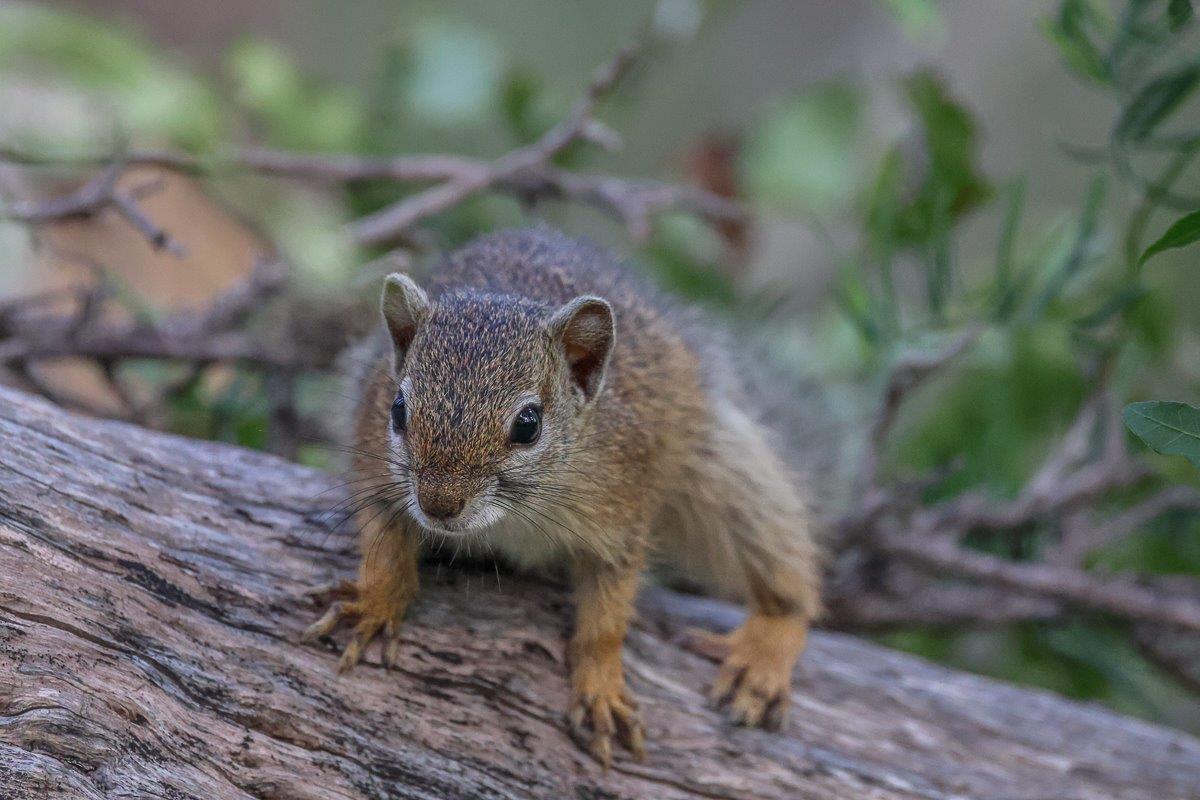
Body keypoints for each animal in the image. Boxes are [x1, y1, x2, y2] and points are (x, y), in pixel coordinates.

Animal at [304, 227, 822, 766]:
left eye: (528, 424)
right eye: (398, 408)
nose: (438, 505)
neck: (512, 515)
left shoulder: (620, 516)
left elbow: (606, 620)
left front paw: (602, 689)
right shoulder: (378, 477)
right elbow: (385, 550)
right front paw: (375, 604)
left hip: (724, 475)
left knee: (784, 570)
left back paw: (763, 653)